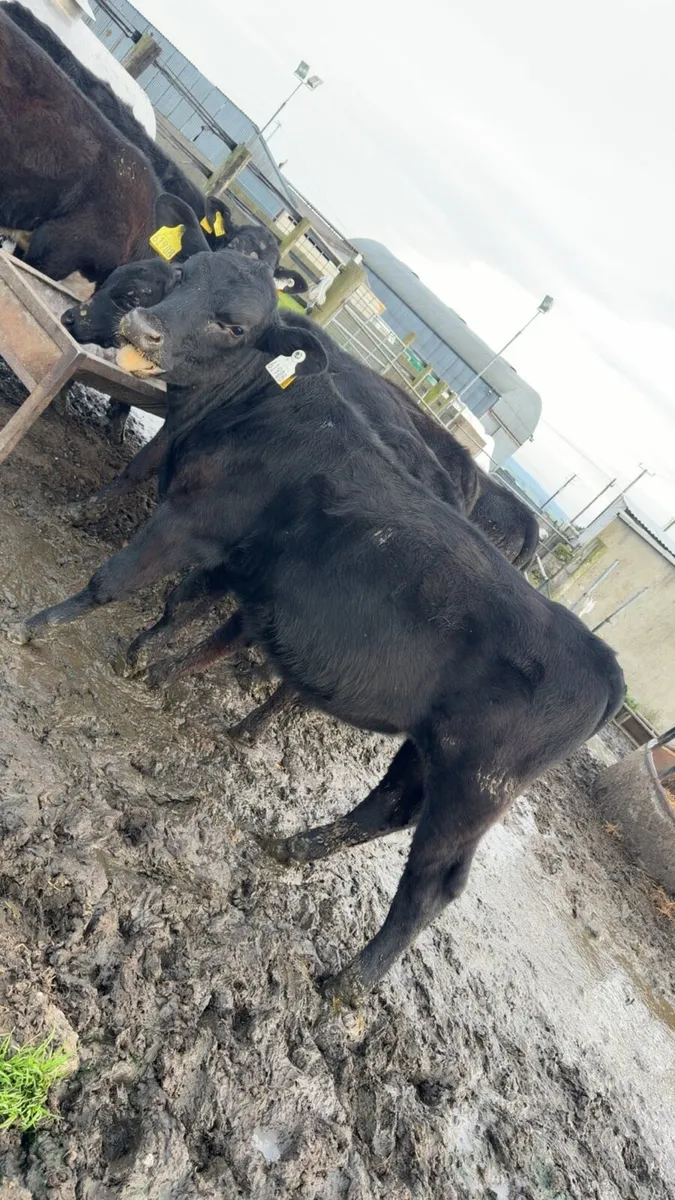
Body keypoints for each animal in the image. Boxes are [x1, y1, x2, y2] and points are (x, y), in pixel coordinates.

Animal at [13, 246, 626, 1004]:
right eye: (179, 279)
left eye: (234, 324)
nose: (141, 326)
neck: (258, 413)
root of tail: (600, 660)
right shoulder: (231, 552)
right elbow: (183, 604)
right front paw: (141, 659)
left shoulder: (189, 519)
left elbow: (117, 578)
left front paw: (37, 624)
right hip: (429, 748)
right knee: (385, 808)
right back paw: (293, 846)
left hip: (477, 784)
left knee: (434, 883)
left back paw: (351, 983)